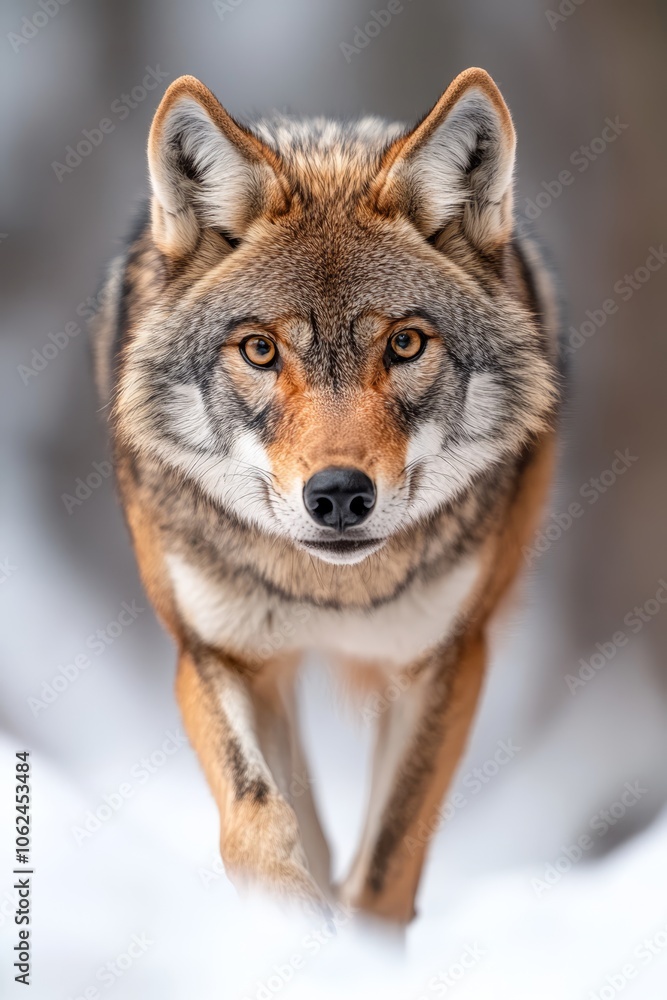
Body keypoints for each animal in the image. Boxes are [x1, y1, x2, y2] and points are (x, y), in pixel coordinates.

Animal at [92, 67, 561, 923]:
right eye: (259, 350)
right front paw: (293, 929)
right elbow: (258, 821)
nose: (339, 495)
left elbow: (384, 867)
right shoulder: (213, 652)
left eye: (404, 343)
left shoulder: (445, 661)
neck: (331, 594)